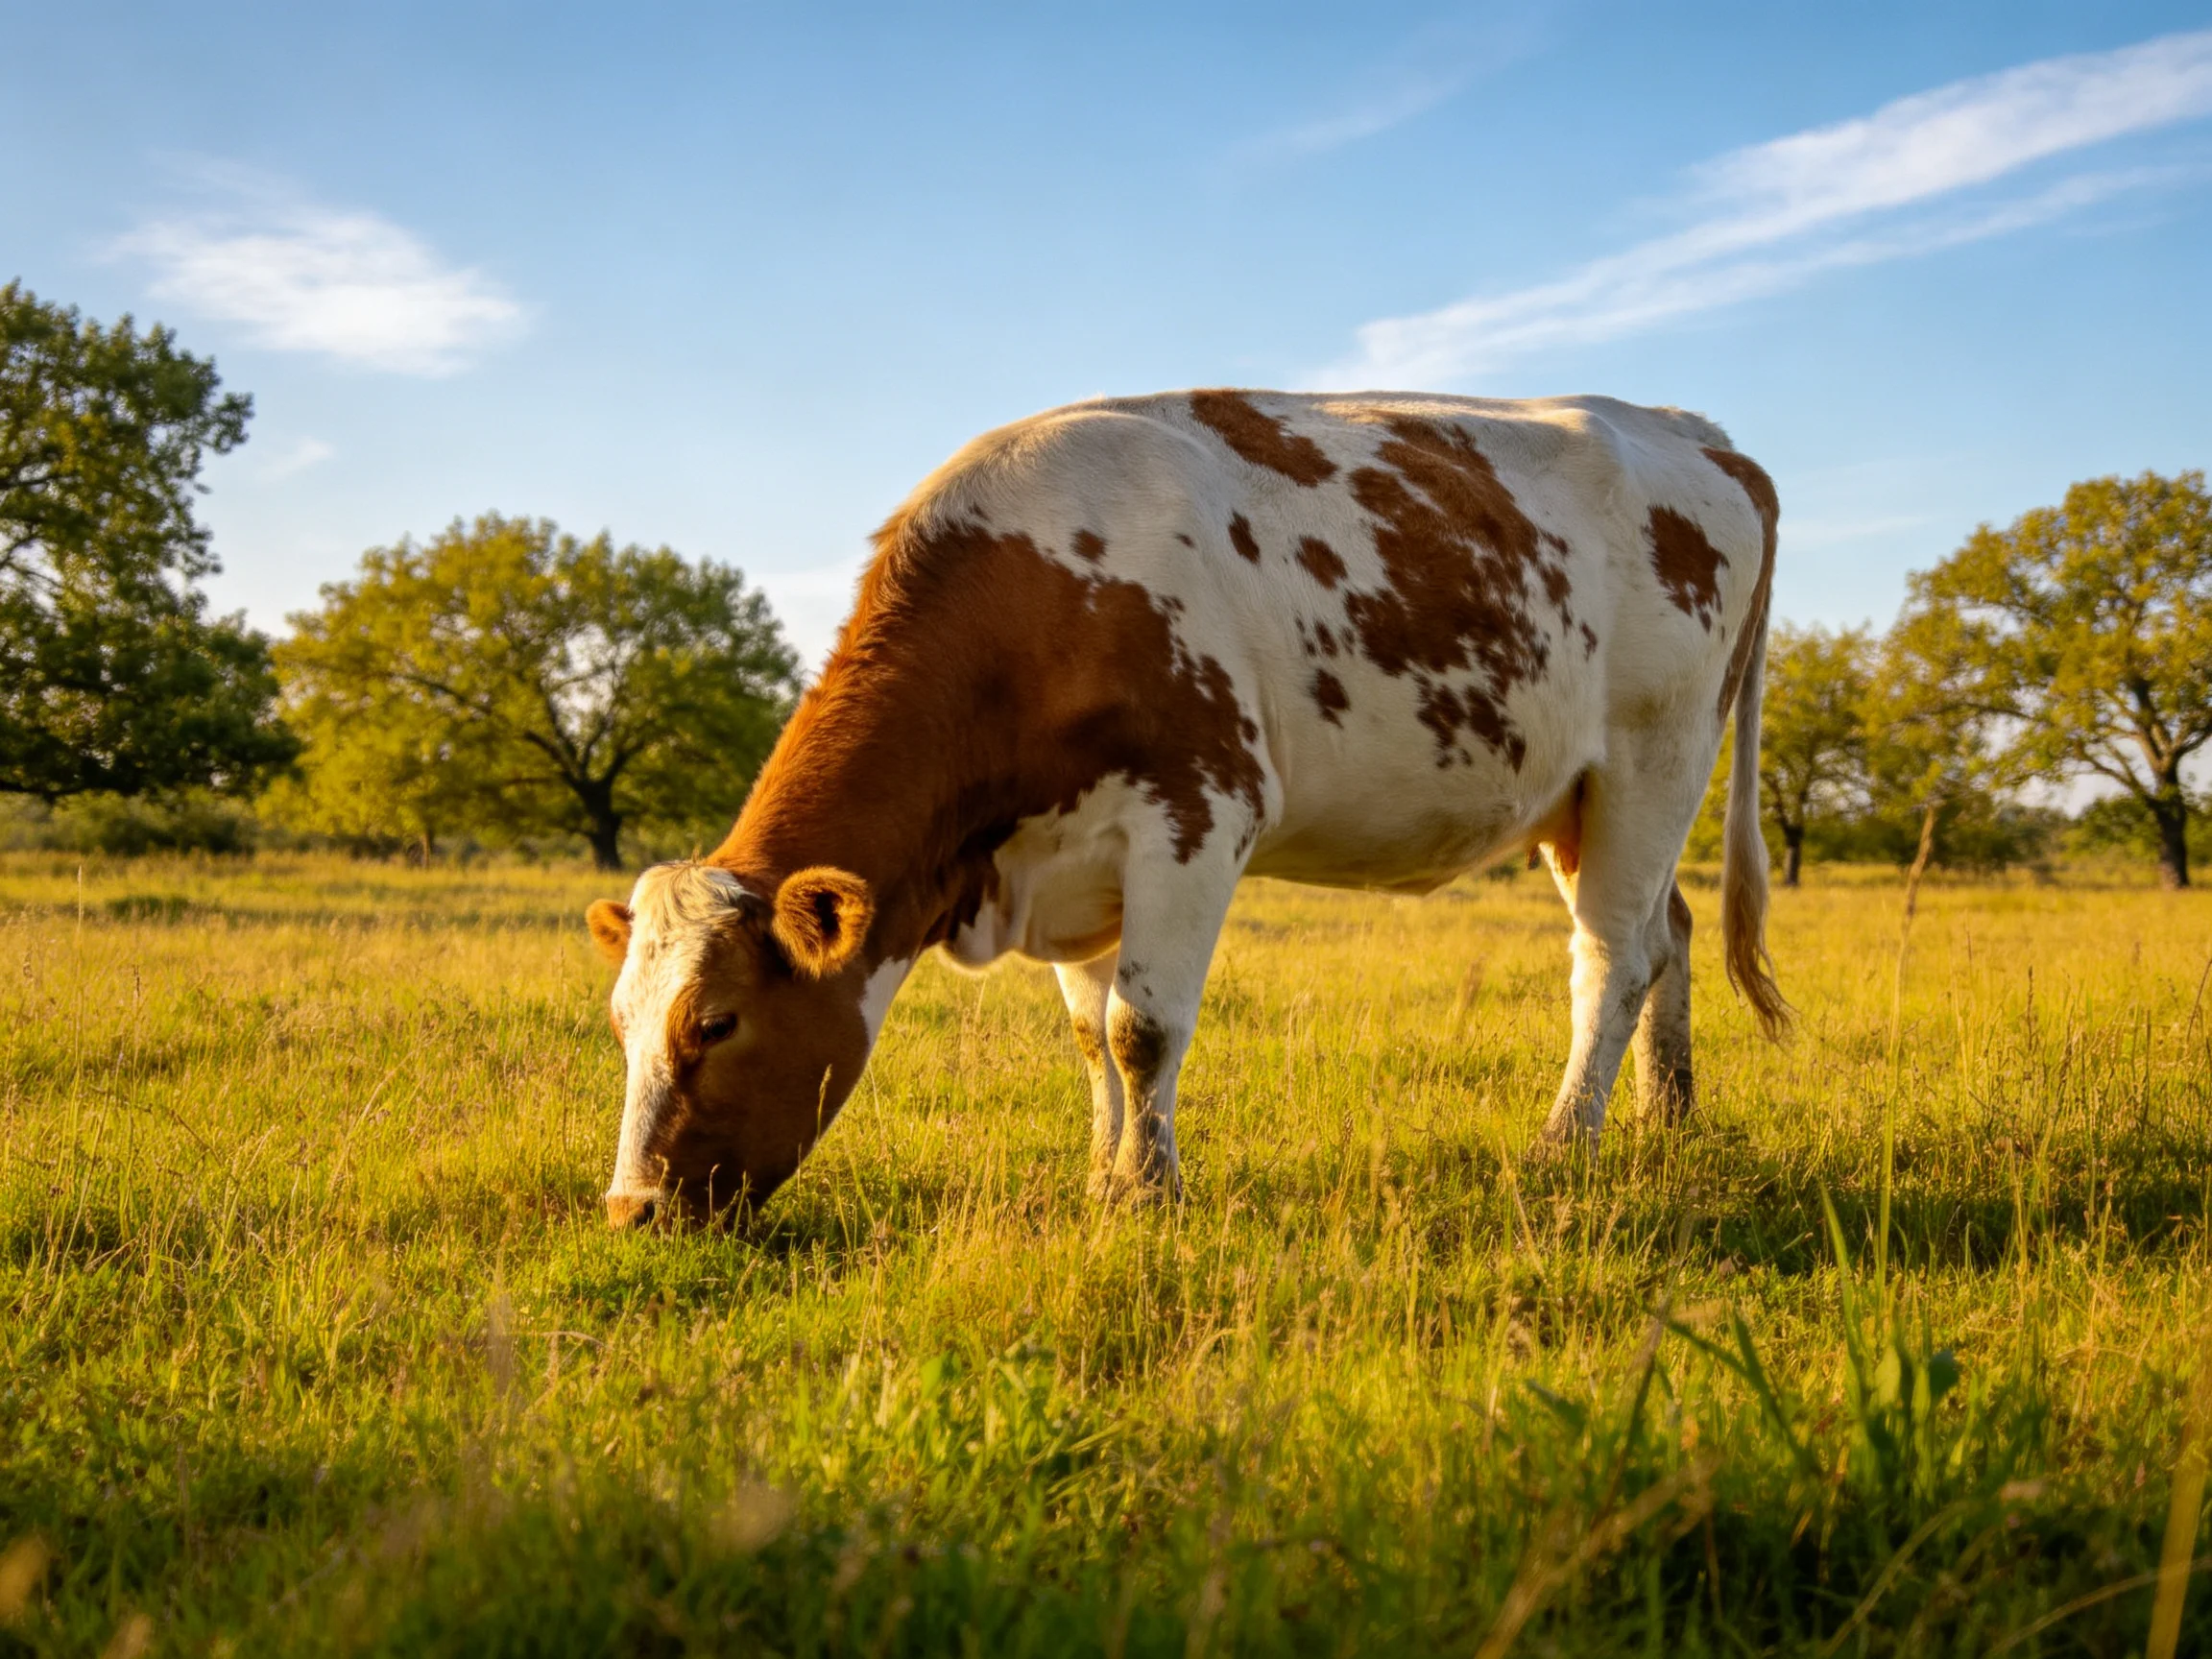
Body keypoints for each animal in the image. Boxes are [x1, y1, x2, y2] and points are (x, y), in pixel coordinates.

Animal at [585, 390, 1788, 1227]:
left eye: (715, 1022)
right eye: (620, 1022)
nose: (631, 1210)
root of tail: (1692, 431)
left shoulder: (1195, 816)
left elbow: (1142, 1029)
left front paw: (1146, 1193)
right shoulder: (1063, 860)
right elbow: (1089, 1035)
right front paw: (1101, 1175)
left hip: (1656, 756)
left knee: (1612, 961)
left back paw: (1563, 1145)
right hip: (1580, 800)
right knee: (1668, 932)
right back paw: (1665, 1117)